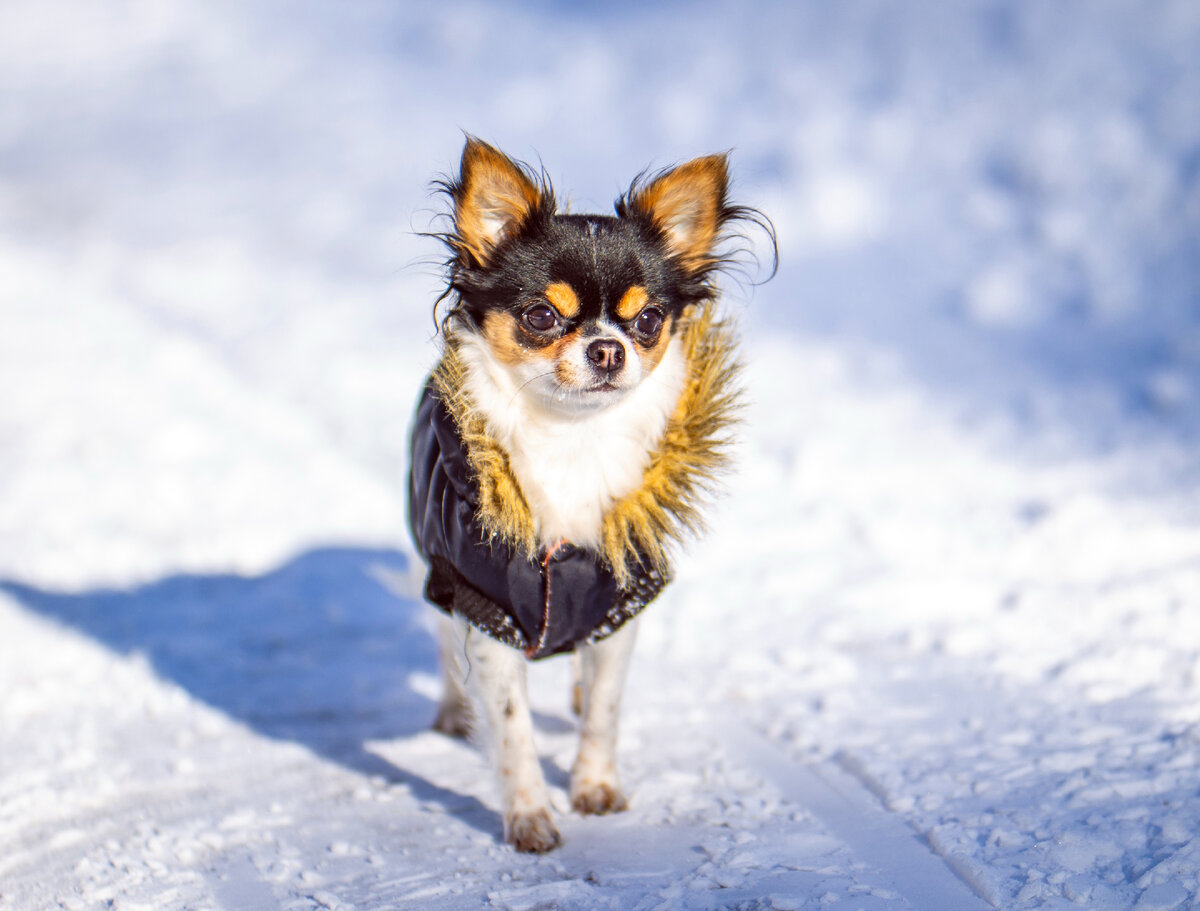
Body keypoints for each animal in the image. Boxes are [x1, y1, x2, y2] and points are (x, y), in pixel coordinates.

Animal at [412, 137, 768, 854]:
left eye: (649, 319)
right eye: (542, 316)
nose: (608, 348)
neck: (572, 441)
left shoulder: (621, 595)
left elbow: (606, 707)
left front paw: (595, 787)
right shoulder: (485, 607)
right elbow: (513, 728)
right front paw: (530, 816)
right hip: (433, 569)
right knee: (440, 639)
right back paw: (454, 708)